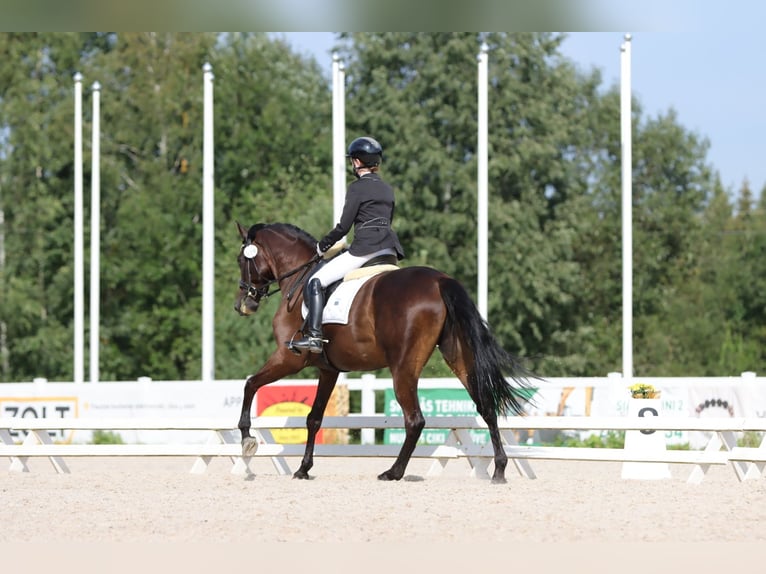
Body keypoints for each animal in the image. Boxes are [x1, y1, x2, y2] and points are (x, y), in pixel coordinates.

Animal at [234, 223, 540, 484]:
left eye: (241, 260)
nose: (243, 305)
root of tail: (440, 281)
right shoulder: (328, 369)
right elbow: (314, 418)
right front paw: (303, 469)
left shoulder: (289, 359)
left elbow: (250, 384)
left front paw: (247, 440)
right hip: (459, 356)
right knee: (486, 406)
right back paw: (499, 469)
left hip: (403, 367)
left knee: (415, 419)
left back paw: (393, 472)